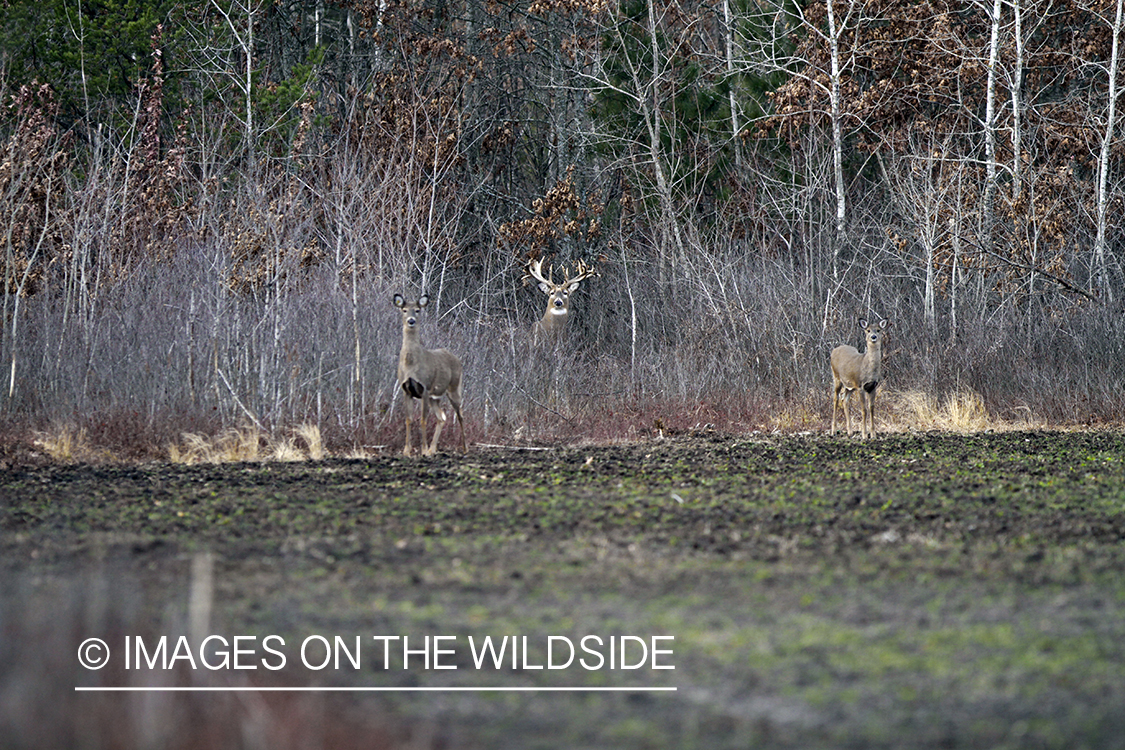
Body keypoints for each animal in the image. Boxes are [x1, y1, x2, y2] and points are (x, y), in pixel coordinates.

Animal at [396, 292, 465, 458]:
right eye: (404, 310)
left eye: (417, 310)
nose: (411, 320)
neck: (411, 364)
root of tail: (457, 359)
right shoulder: (406, 390)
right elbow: (408, 419)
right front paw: (407, 451)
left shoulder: (425, 388)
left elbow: (423, 419)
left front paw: (423, 449)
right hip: (436, 397)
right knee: (442, 417)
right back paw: (433, 450)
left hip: (454, 387)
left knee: (460, 414)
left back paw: (465, 449)